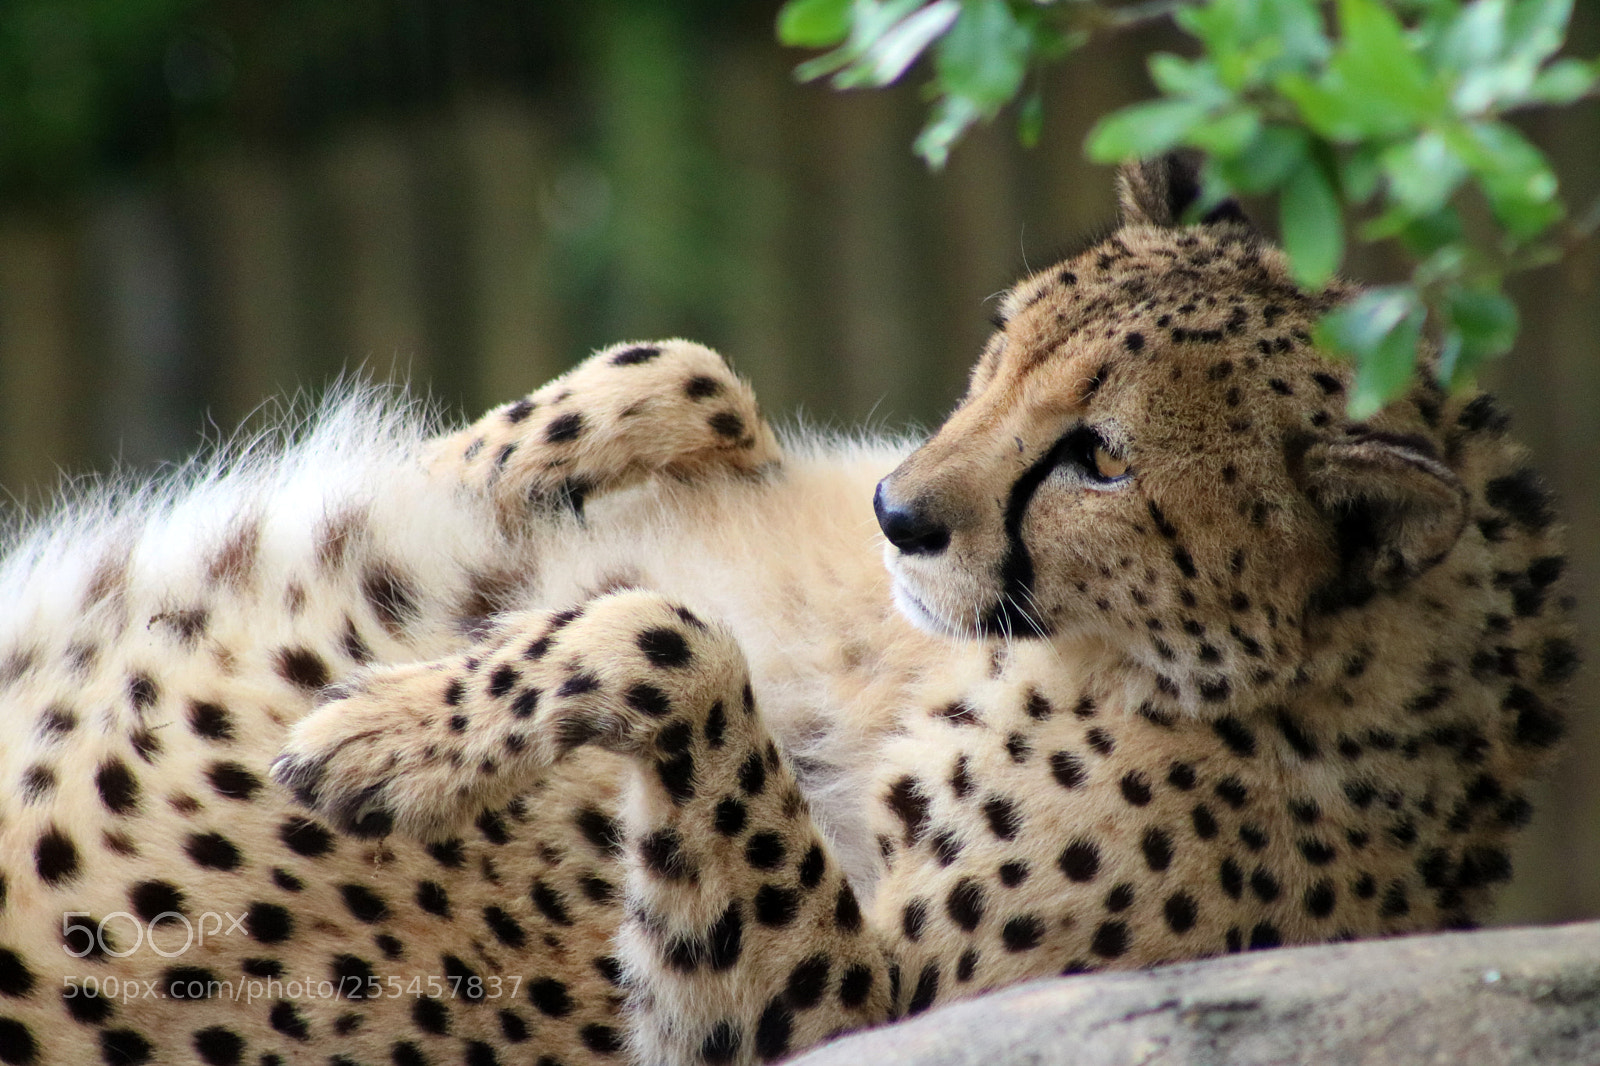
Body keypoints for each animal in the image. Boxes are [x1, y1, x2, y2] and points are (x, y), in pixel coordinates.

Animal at [0, 155, 1574, 1066]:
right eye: (1003, 343)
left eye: (1103, 459)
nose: (900, 511)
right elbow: (692, 368)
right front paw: (466, 472)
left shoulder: (863, 1012)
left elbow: (667, 633)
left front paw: (387, 739)